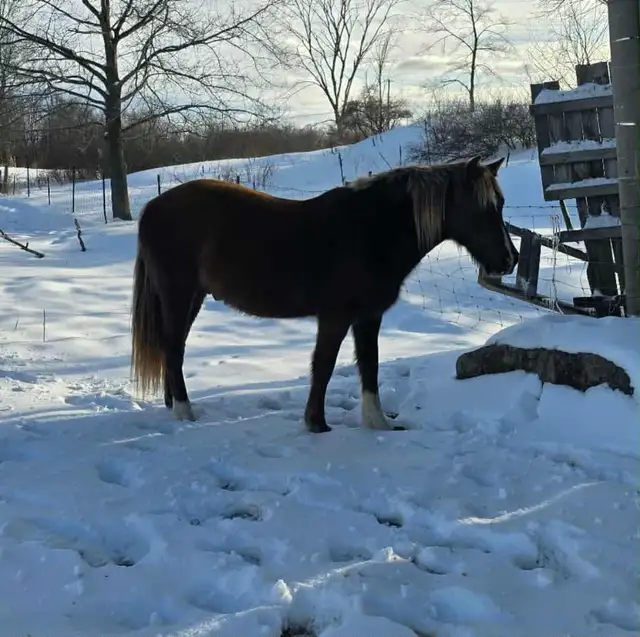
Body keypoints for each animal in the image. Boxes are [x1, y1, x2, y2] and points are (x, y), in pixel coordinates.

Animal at [130, 155, 518, 433]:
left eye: (500, 203)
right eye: (485, 208)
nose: (509, 260)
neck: (370, 231)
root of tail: (151, 208)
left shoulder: (368, 317)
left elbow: (370, 365)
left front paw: (377, 423)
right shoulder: (335, 317)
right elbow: (324, 365)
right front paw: (316, 424)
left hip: (191, 297)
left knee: (174, 347)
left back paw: (173, 404)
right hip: (179, 294)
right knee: (173, 347)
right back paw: (184, 411)